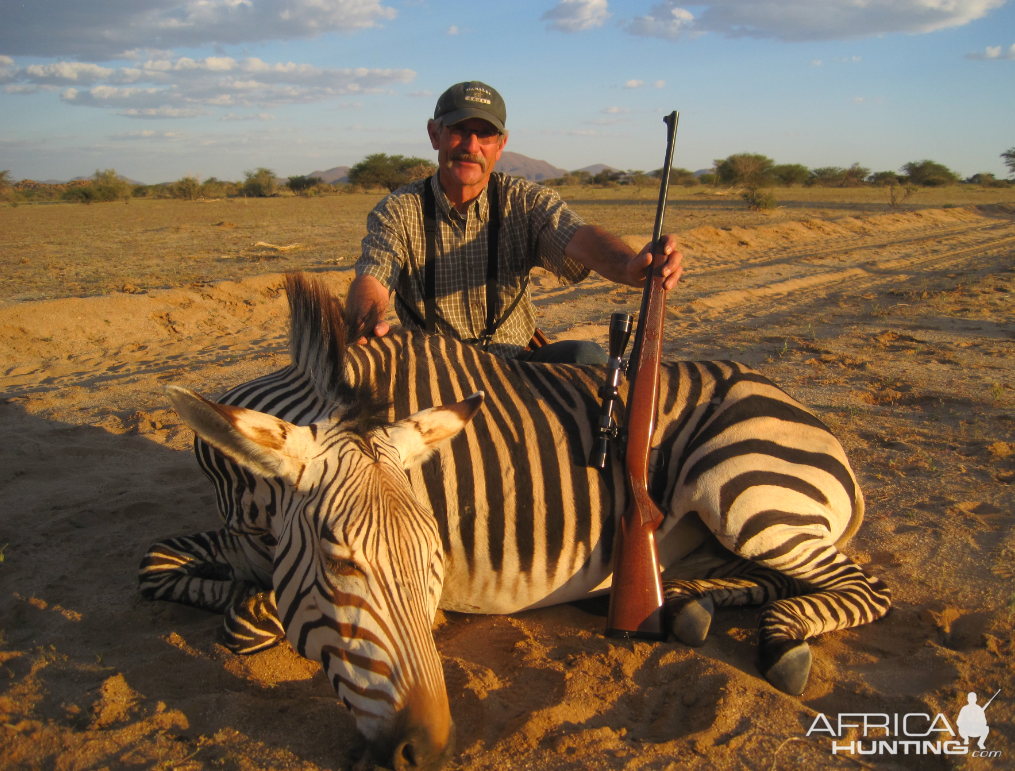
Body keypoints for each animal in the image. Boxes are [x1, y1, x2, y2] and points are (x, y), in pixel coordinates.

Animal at [141, 273, 889, 771]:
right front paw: (223, 587)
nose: (425, 748)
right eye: (337, 563)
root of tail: (798, 409)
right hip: (730, 527)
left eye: (435, 561)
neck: (251, 506)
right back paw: (690, 604)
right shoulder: (236, 536)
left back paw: (781, 642)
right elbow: (157, 564)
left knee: (860, 585)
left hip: (744, 491)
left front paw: (248, 604)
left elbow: (247, 619)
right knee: (764, 577)